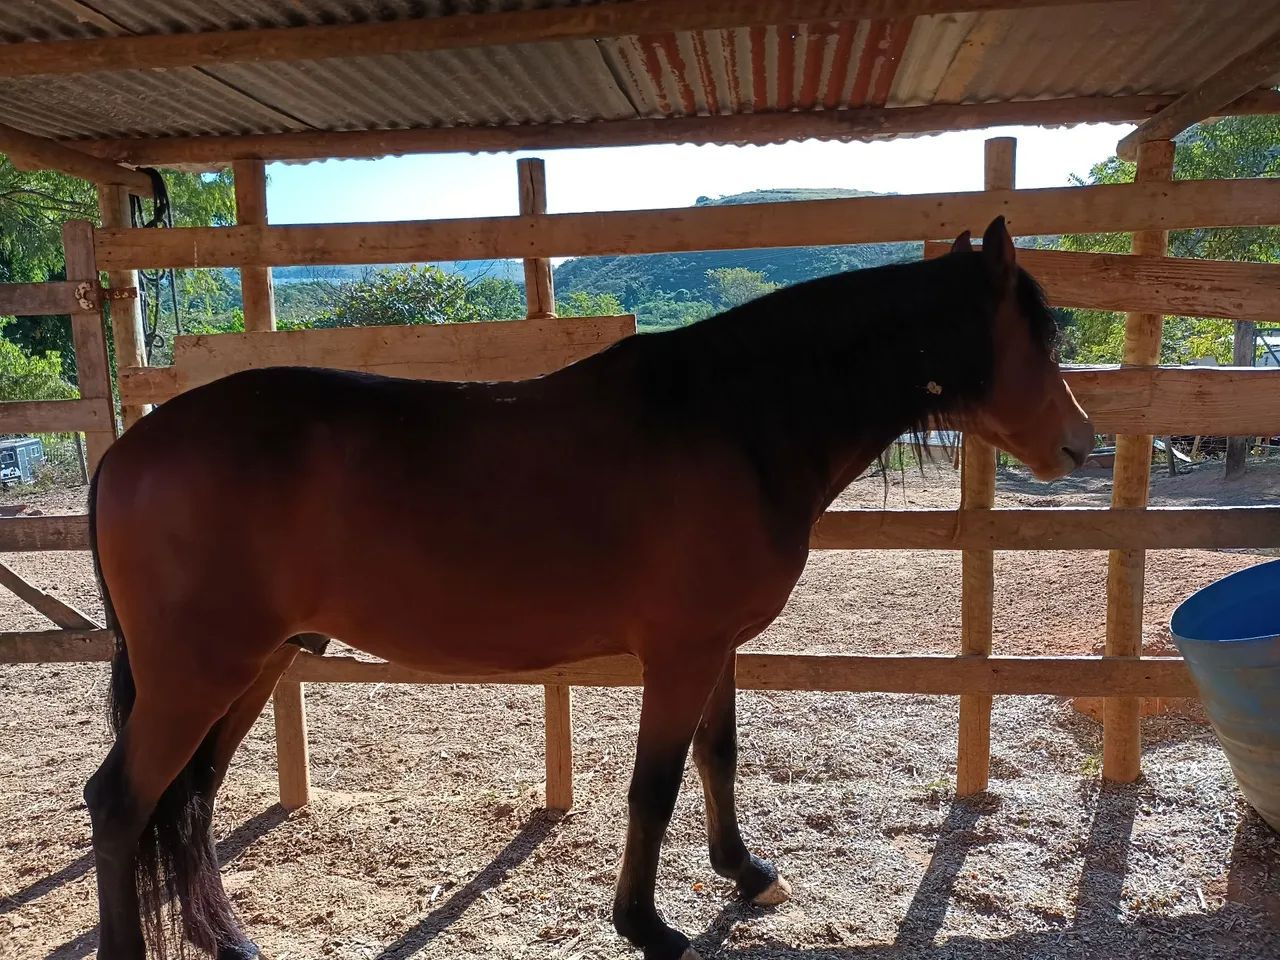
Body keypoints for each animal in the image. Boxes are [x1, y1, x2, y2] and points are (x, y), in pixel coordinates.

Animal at [82, 216, 1092, 960]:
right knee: (123, 802)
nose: (1080, 445)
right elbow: (655, 785)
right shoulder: (679, 653)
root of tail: (129, 451)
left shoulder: (715, 646)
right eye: (1036, 338)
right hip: (198, 675)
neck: (738, 420)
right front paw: (647, 925)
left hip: (251, 668)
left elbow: (717, 757)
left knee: (192, 797)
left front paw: (745, 873)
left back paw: (230, 939)